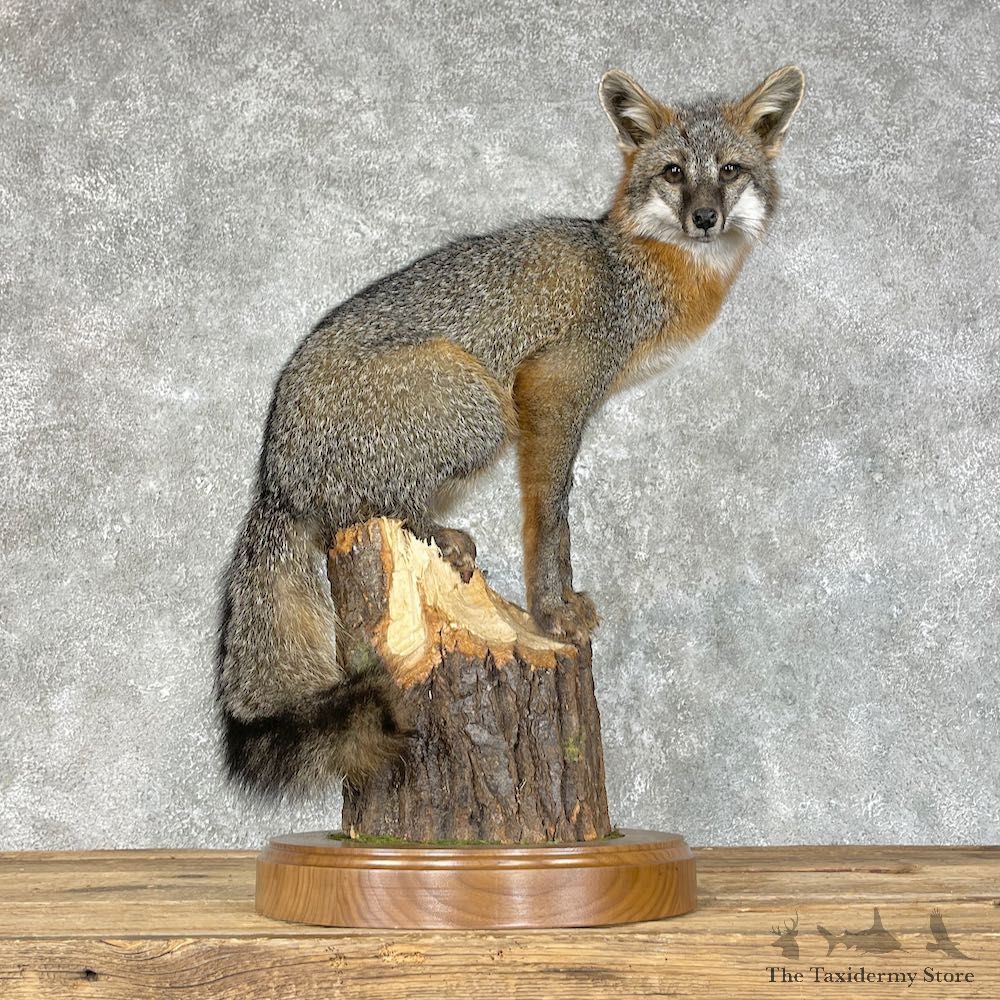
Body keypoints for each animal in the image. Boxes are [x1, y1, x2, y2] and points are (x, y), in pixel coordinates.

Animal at [216, 65, 805, 795]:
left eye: (729, 170)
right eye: (673, 172)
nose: (705, 218)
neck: (632, 265)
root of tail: (271, 473)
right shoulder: (553, 386)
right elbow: (550, 514)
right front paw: (552, 609)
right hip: (482, 404)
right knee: (361, 508)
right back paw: (434, 533)